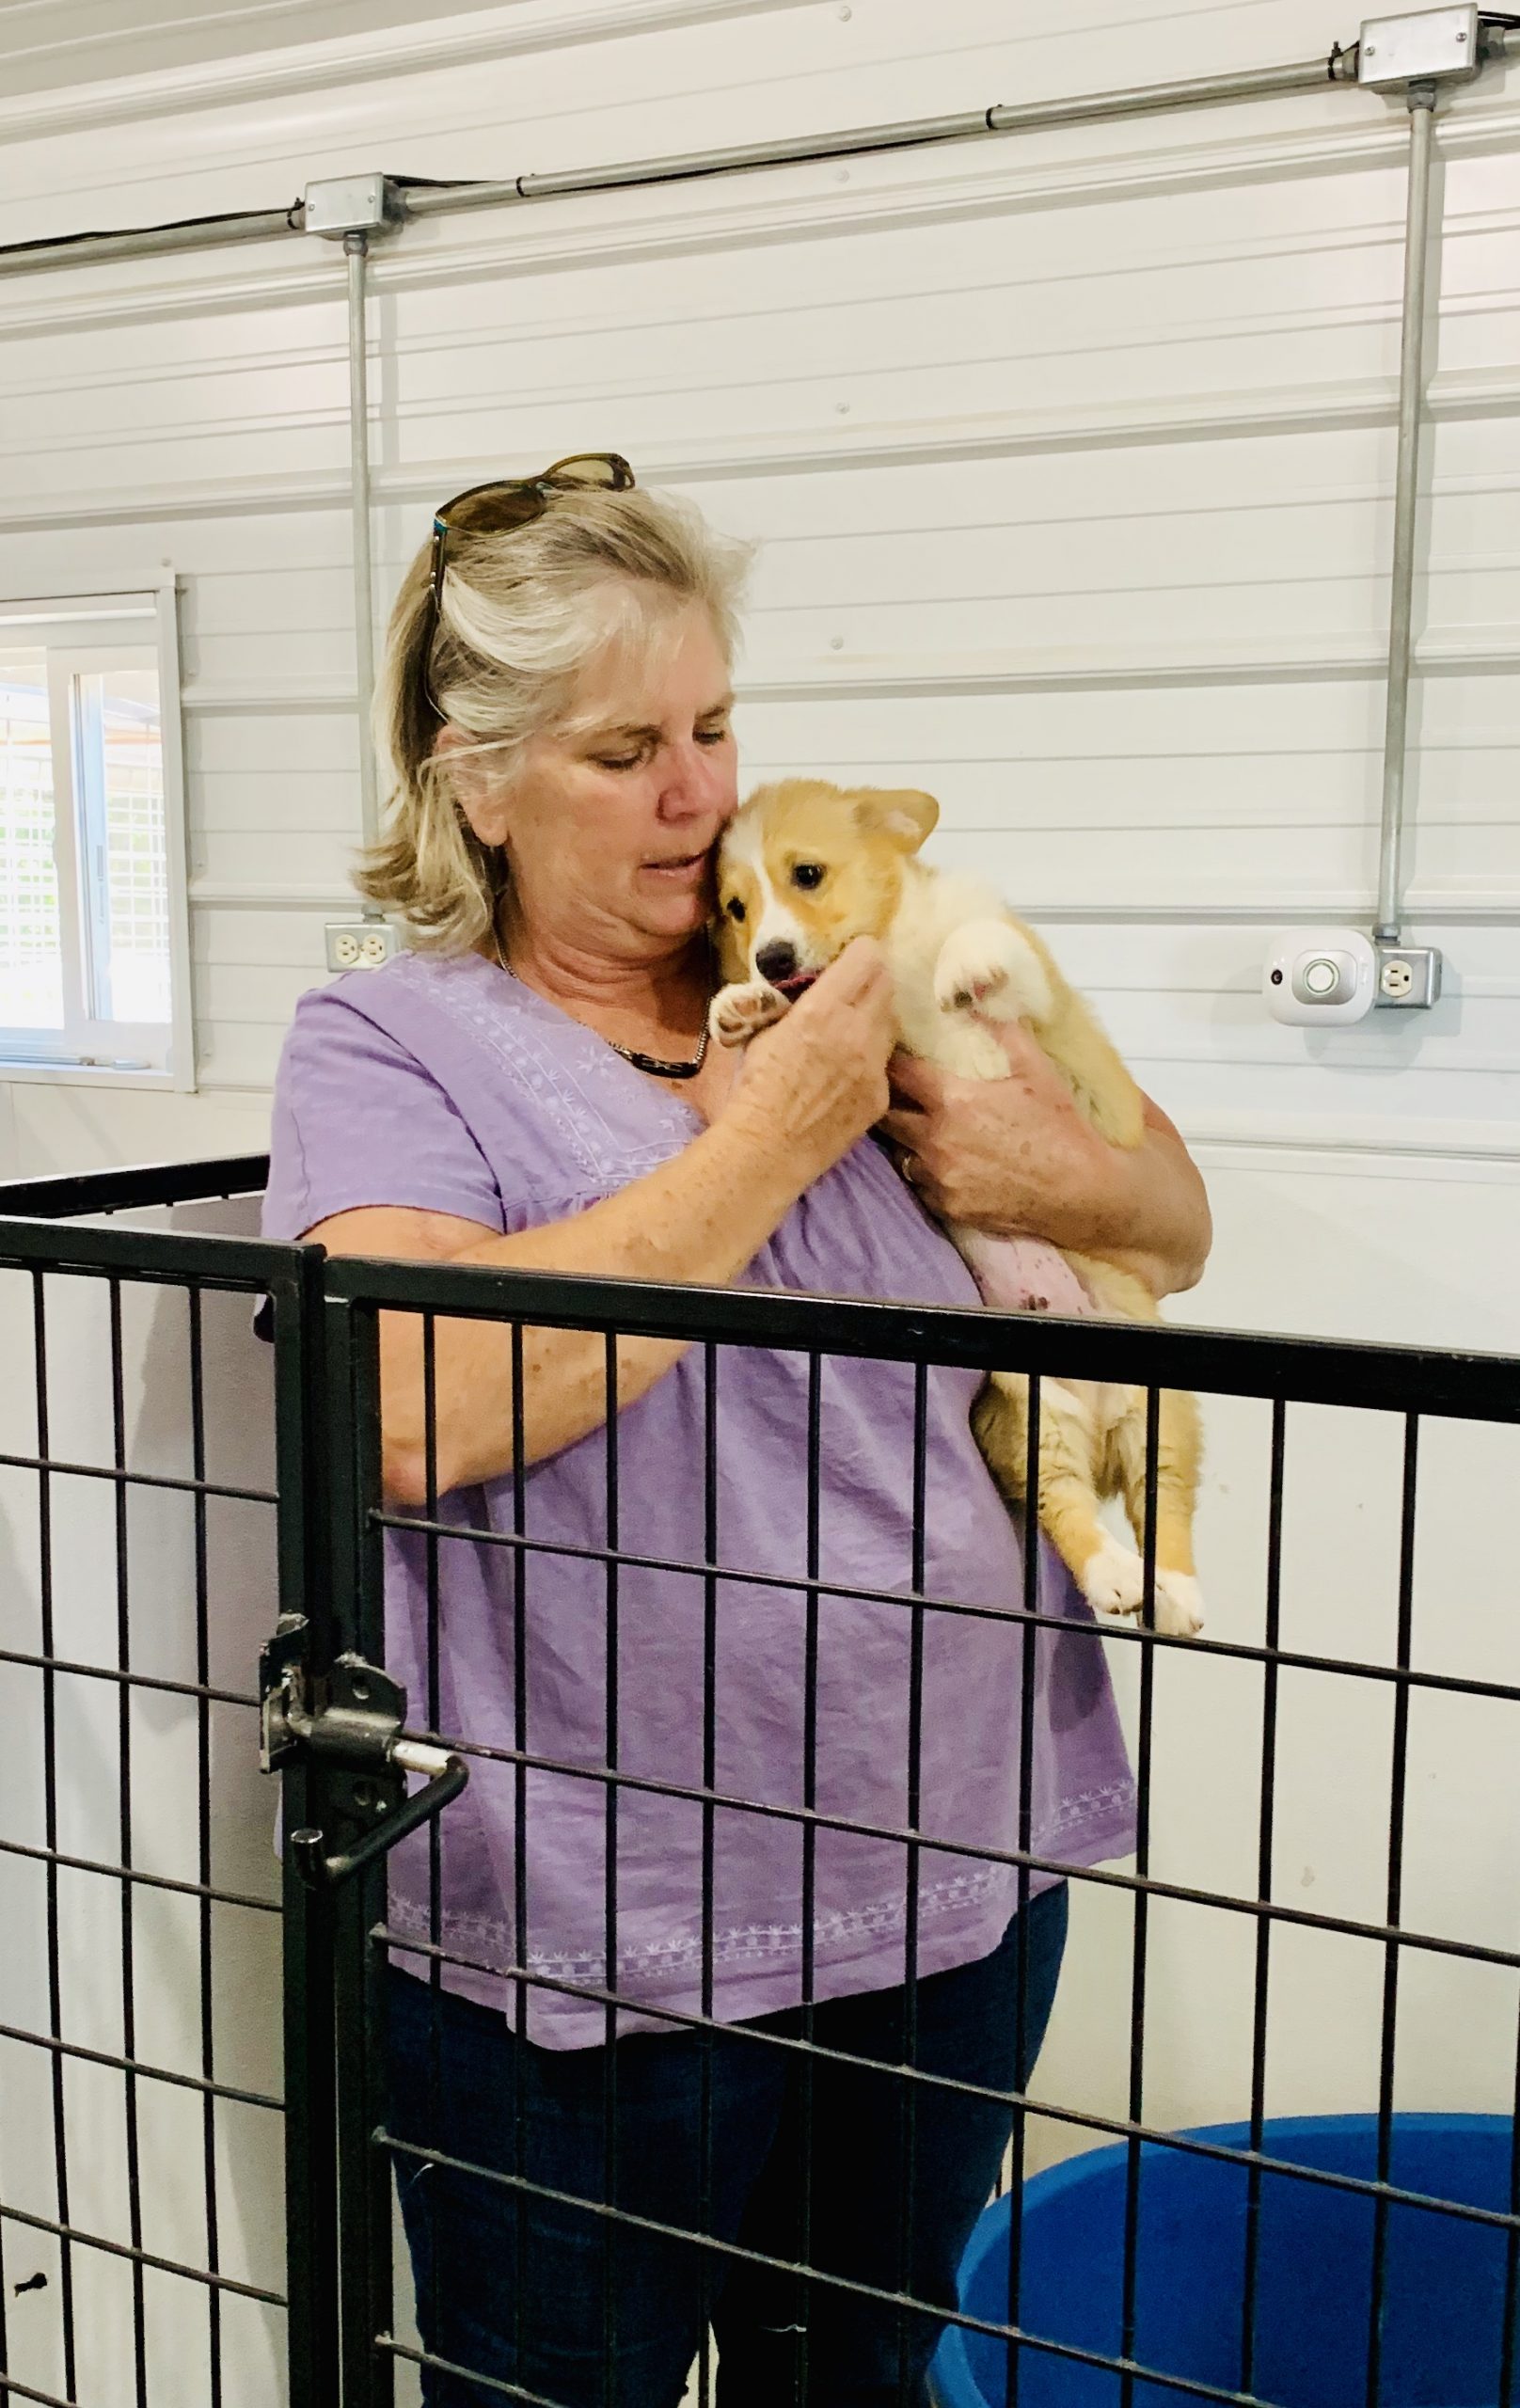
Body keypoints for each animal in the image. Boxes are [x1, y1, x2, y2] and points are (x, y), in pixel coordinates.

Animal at [713, 780, 1199, 1647]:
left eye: (807, 874)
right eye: (736, 908)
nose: (769, 958)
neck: (893, 952)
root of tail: (1103, 1423)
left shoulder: (1040, 1001)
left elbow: (988, 942)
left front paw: (966, 967)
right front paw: (739, 1002)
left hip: (1163, 1415)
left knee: (1165, 1507)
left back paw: (1174, 1593)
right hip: (1031, 1418)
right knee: (1067, 1504)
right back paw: (1113, 1578)